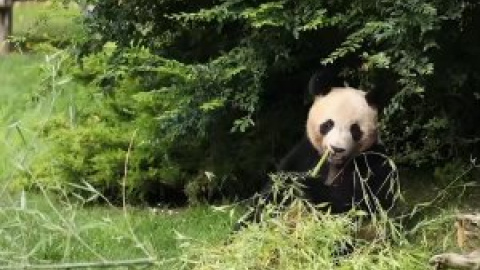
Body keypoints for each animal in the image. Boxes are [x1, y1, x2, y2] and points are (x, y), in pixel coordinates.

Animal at [235, 69, 398, 228]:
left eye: (355, 130)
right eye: (328, 124)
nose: (337, 148)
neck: (334, 164)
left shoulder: (373, 160)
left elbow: (358, 203)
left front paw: (307, 184)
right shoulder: (306, 153)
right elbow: (274, 192)